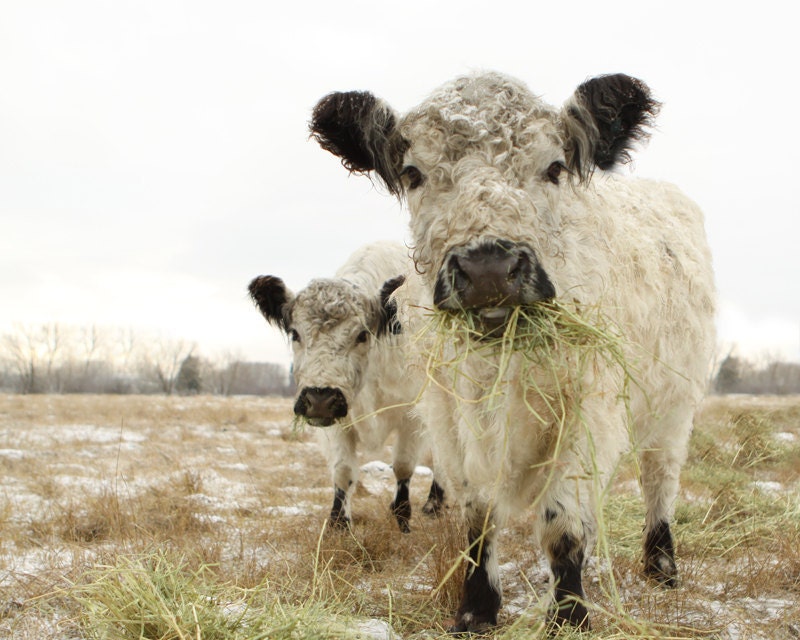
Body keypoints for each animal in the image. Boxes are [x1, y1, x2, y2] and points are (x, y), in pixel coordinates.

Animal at [248, 241, 444, 533]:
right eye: (295, 333)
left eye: (362, 334)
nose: (319, 399)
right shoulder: (336, 421)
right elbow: (343, 471)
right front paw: (338, 522)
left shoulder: (412, 416)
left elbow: (403, 466)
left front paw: (402, 518)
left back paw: (434, 504)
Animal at [309, 72, 716, 631]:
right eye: (413, 173)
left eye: (555, 167)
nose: (488, 268)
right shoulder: (453, 417)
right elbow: (478, 513)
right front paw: (477, 607)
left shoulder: (587, 410)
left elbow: (564, 522)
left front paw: (569, 615)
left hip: (675, 407)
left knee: (660, 480)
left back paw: (661, 565)